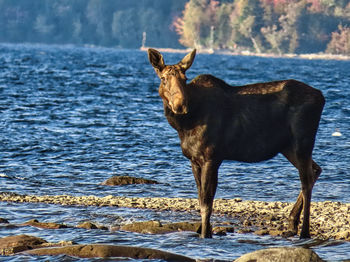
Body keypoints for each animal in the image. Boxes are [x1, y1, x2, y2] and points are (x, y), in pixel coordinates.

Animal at [147, 48, 326, 238]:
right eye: (163, 78)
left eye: (185, 78)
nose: (180, 105)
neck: (184, 125)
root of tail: (321, 97)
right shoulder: (194, 160)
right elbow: (200, 198)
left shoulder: (211, 157)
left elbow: (206, 203)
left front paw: (205, 234)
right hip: (288, 147)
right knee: (315, 170)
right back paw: (292, 221)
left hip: (302, 142)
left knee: (306, 181)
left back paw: (304, 232)